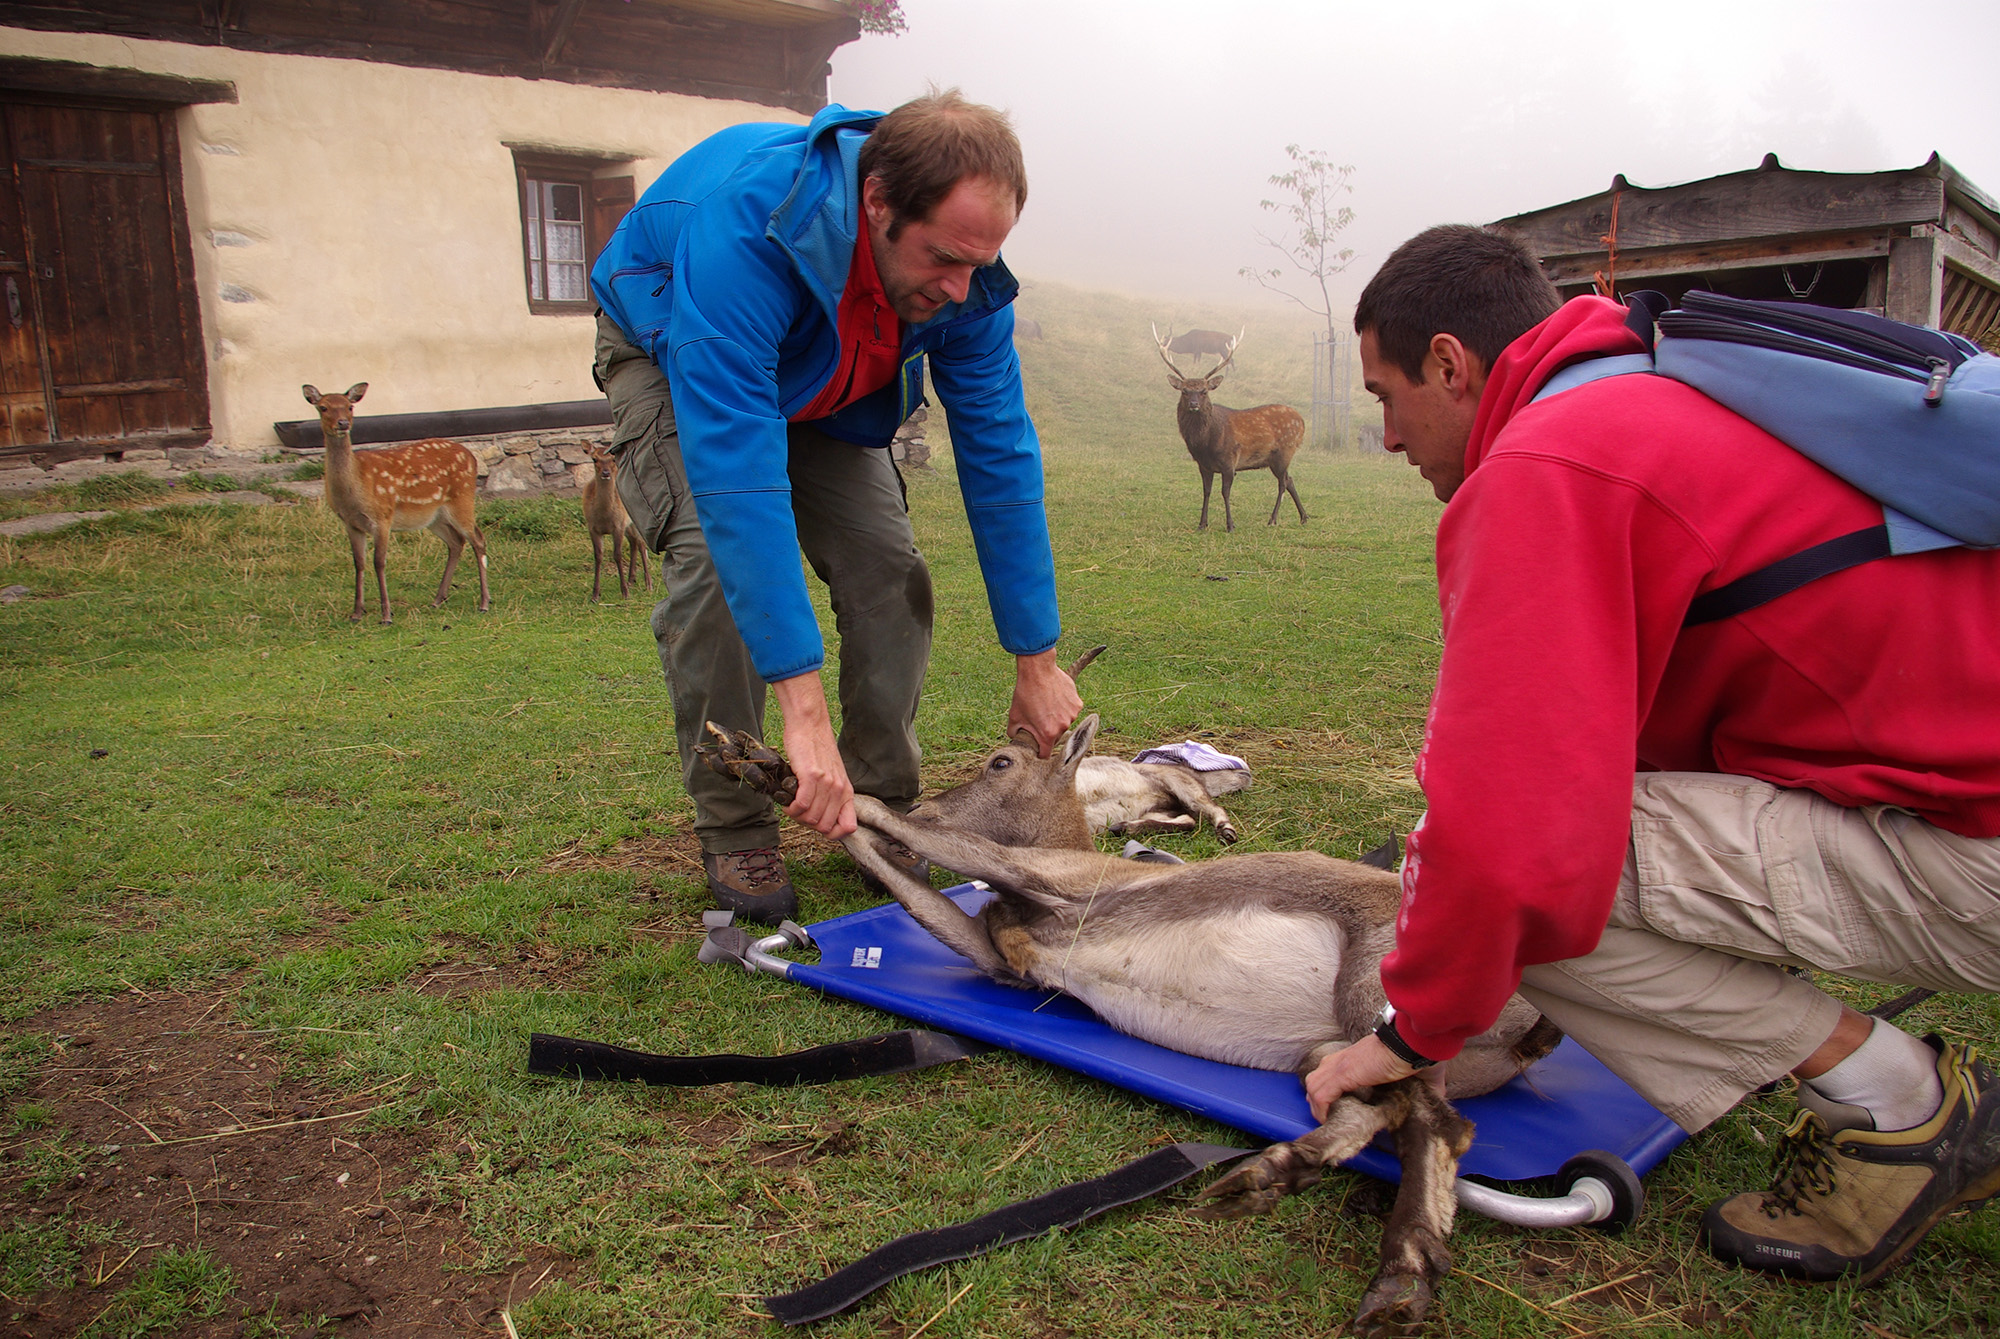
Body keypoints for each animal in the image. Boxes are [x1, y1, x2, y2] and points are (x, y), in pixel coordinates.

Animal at [304, 379, 492, 627]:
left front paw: (386, 615)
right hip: (434, 516)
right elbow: (358, 562)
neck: (355, 488)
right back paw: (438, 599)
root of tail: (472, 457)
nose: (343, 423)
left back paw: (484, 602)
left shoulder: (383, 515)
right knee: (455, 542)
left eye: (349, 406)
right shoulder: (351, 523)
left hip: (462, 498)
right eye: (323, 407)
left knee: (478, 539)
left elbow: (379, 562)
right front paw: (356, 613)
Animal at [580, 445, 648, 603]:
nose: (605, 473)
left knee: (641, 544)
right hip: (628, 526)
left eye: (612, 459)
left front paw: (625, 593)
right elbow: (598, 556)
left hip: (635, 521)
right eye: (594, 459)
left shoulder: (618, 526)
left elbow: (617, 555)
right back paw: (631, 580)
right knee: (634, 543)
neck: (604, 516)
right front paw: (595, 595)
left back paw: (648, 585)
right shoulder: (592, 527)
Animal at [1160, 327, 1312, 531]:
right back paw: (1303, 517)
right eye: (1184, 391)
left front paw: (1230, 525)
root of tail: (1302, 421)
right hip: (1275, 458)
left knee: (1283, 482)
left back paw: (1273, 519)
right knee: (1290, 480)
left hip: (1285, 451)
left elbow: (1225, 492)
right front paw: (1202, 524)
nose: (1193, 404)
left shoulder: (1229, 461)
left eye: (1204, 391)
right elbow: (1206, 491)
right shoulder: (1203, 465)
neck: (1205, 444)